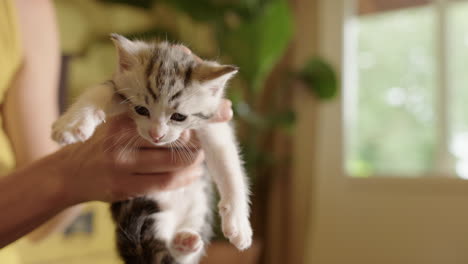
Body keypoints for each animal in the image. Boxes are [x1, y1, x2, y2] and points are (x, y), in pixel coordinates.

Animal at [52, 34, 252, 264]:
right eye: (141, 109)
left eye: (179, 117)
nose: (157, 135)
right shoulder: (118, 87)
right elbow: (101, 89)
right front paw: (72, 123)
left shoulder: (214, 121)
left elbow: (228, 163)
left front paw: (238, 223)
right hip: (148, 212)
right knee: (156, 252)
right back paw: (181, 243)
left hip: (198, 212)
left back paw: (185, 241)